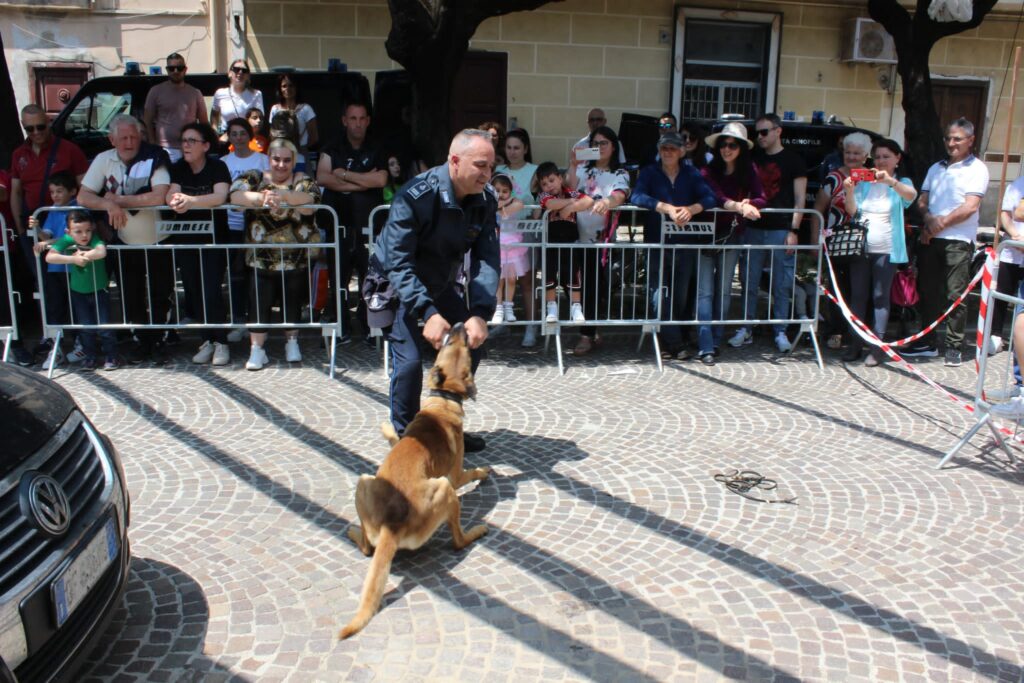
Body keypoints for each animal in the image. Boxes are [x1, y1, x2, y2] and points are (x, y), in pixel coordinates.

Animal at [337, 323, 489, 638]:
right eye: (457, 344)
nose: (459, 325)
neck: (443, 399)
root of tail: (392, 525)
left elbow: (395, 436)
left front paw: (387, 429)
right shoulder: (456, 476)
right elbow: (472, 473)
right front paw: (485, 472)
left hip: (364, 481)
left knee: (366, 548)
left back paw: (354, 533)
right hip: (445, 488)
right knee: (458, 542)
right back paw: (477, 531)